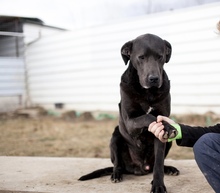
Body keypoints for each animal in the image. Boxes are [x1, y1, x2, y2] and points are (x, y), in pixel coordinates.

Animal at [78, 34, 179, 192]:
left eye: (160, 57)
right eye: (141, 57)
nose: (154, 79)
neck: (148, 92)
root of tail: (140, 168)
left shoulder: (161, 133)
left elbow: (158, 163)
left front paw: (158, 185)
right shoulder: (131, 121)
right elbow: (148, 116)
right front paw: (168, 127)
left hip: (168, 143)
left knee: (156, 164)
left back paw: (169, 168)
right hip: (115, 137)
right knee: (118, 164)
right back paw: (116, 174)